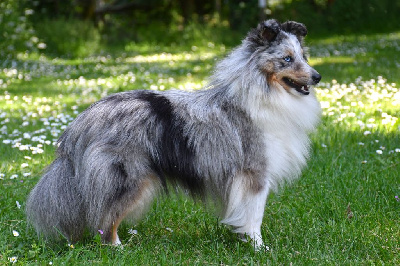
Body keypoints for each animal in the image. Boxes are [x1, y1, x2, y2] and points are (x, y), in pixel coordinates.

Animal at [26, 19, 322, 250]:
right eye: (287, 59)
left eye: (303, 57)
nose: (317, 77)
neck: (263, 92)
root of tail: (80, 124)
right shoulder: (255, 173)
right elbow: (254, 216)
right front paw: (259, 247)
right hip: (128, 177)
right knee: (105, 219)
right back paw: (118, 248)